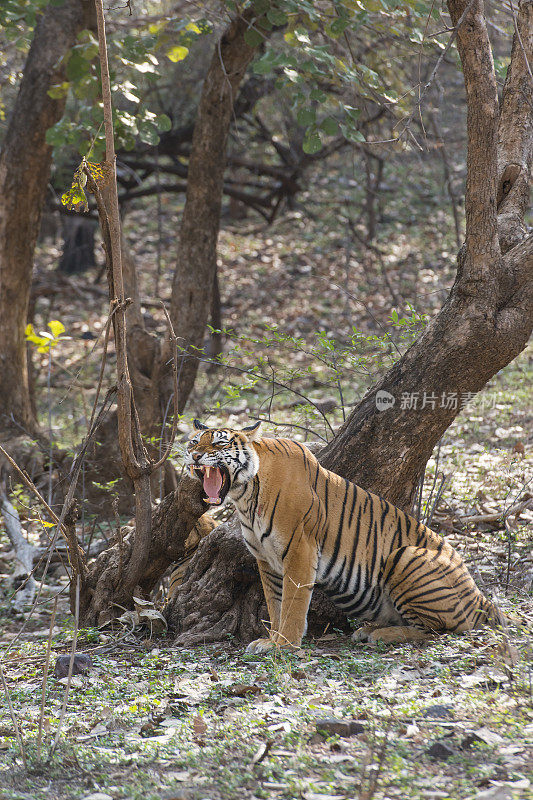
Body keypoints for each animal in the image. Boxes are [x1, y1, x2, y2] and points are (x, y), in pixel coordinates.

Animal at [183, 418, 502, 648]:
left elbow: (292, 603)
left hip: (406, 555)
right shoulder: (265, 559)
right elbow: (274, 603)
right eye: (193, 441)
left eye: (219, 442)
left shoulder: (299, 550)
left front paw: (284, 644)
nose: (194, 455)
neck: (246, 496)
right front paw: (271, 639)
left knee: (440, 629)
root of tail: (481, 598)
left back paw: (380, 636)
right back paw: (370, 630)